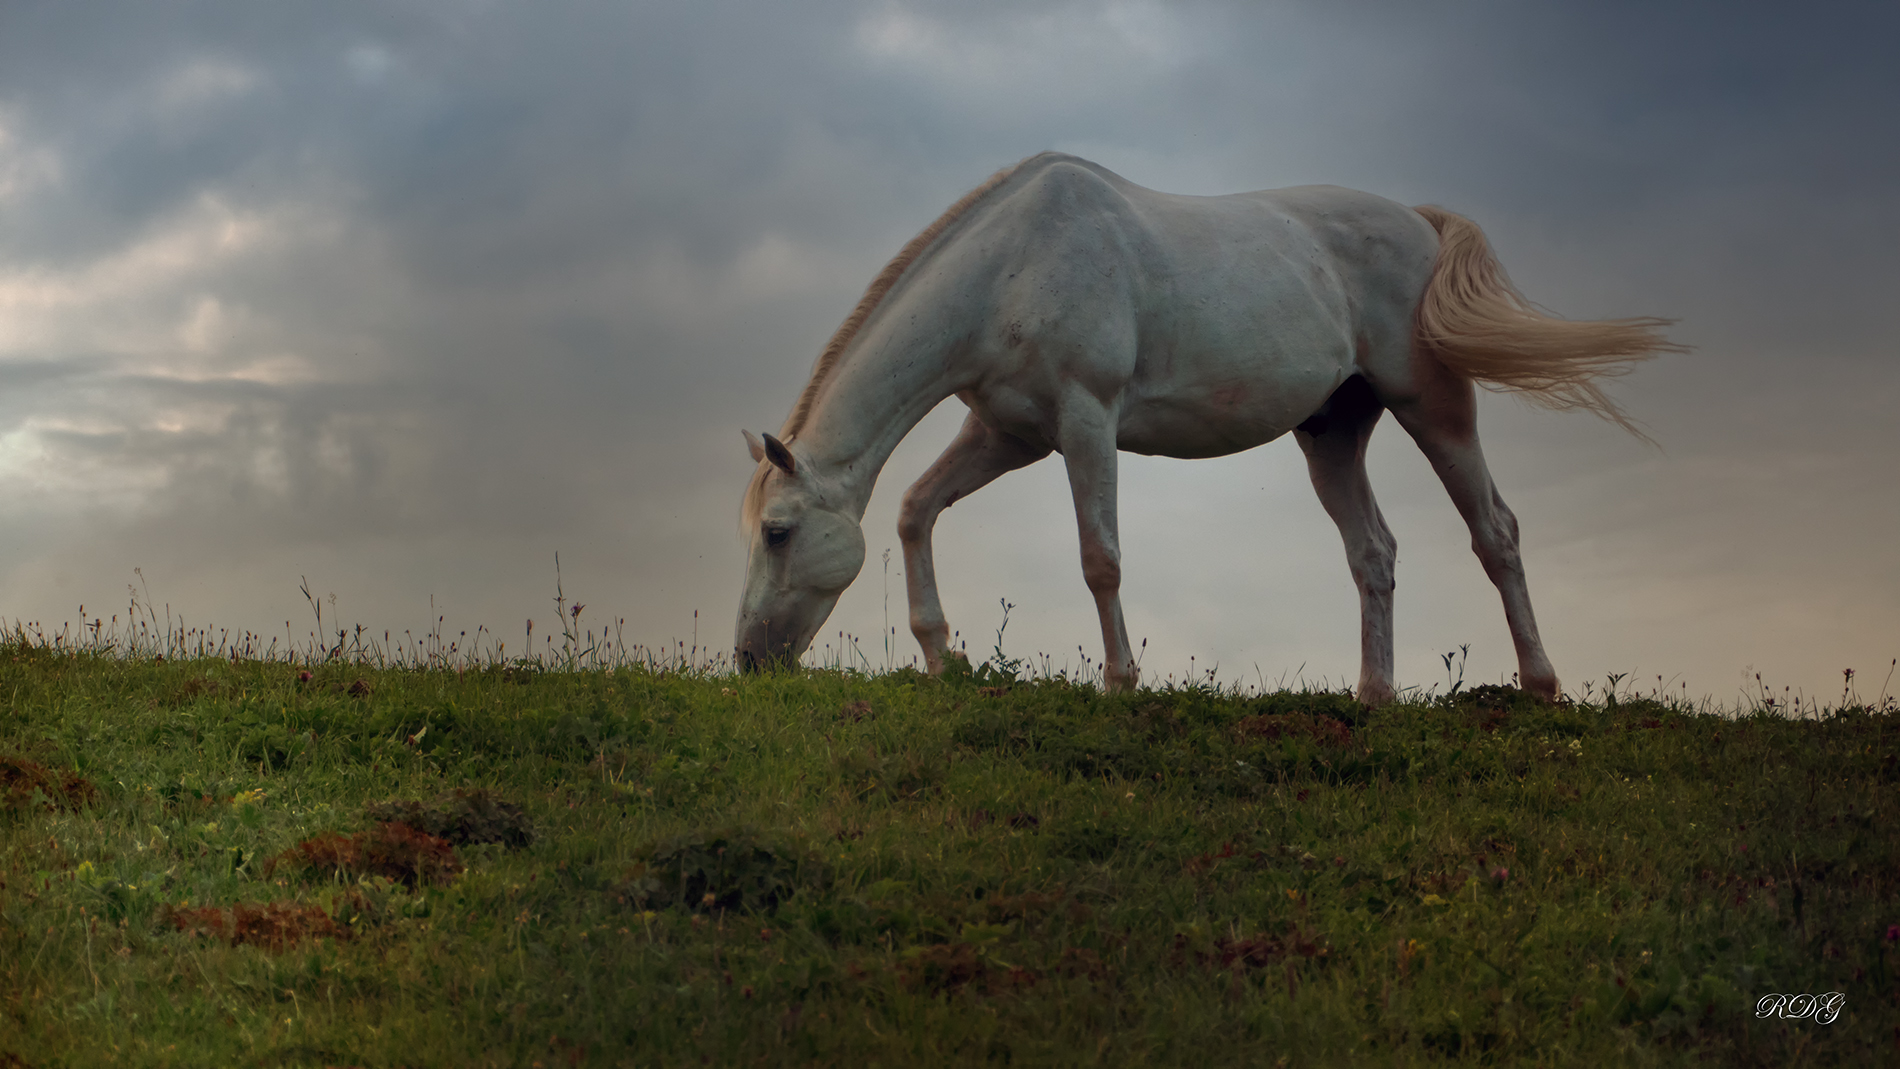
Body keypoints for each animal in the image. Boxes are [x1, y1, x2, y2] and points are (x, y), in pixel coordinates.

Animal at [733, 150, 1687, 702]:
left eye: (778, 532)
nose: (747, 661)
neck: (1012, 267)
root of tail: (1419, 221)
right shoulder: (1009, 435)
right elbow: (914, 511)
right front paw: (942, 656)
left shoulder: (1085, 423)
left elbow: (1101, 558)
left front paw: (1121, 682)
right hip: (1332, 434)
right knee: (1373, 553)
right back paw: (1372, 696)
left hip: (1436, 406)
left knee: (1497, 531)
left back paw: (1541, 685)